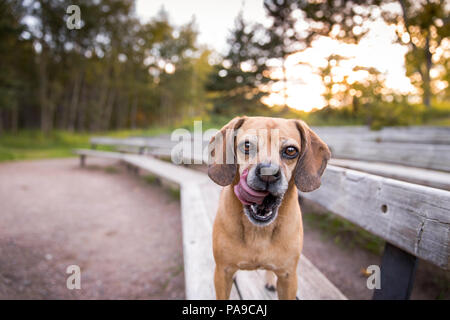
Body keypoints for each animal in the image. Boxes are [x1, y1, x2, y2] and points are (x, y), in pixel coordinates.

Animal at [207, 116, 330, 298]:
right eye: (247, 145)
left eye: (291, 150)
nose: (268, 174)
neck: (258, 231)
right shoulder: (222, 272)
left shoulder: (288, 277)